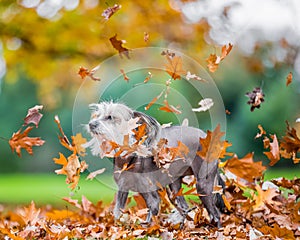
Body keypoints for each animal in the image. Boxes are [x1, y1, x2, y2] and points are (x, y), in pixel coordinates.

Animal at [83, 101, 224, 227]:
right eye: (97, 115)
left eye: (110, 117)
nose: (91, 124)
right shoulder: (123, 188)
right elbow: (117, 212)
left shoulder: (149, 192)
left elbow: (152, 211)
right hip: (174, 186)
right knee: (184, 207)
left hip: (203, 185)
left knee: (216, 214)